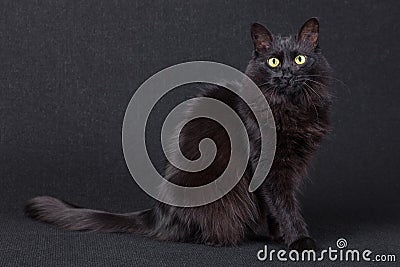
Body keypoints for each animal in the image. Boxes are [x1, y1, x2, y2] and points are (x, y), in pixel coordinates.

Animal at [25, 17, 332, 252]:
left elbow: (275, 208)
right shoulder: (267, 165)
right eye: (273, 62)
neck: (290, 108)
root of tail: (158, 214)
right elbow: (284, 205)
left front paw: (280, 237)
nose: (287, 74)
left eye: (300, 59)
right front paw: (300, 241)